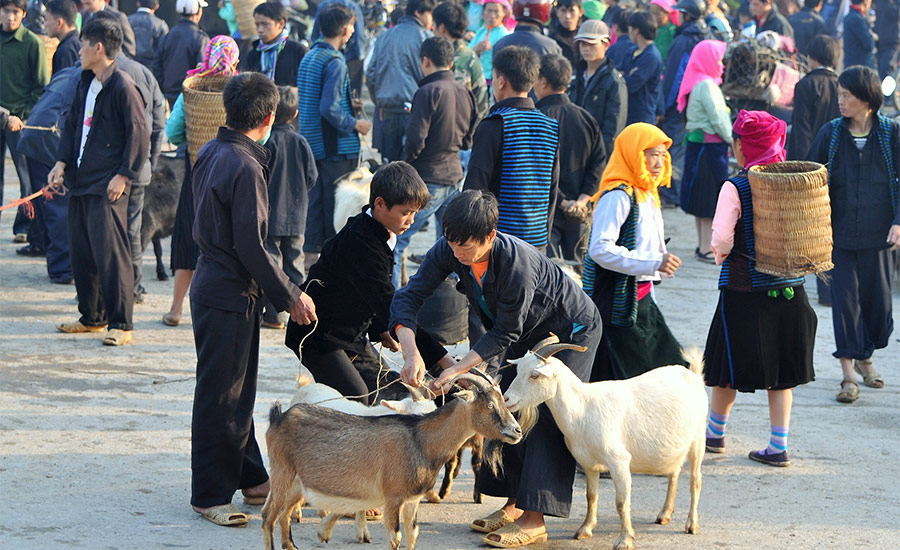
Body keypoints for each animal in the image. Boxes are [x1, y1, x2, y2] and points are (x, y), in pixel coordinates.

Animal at [260, 376, 520, 550]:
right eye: (489, 405)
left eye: (503, 401)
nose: (516, 431)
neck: (420, 441)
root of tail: (279, 418)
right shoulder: (393, 497)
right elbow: (395, 537)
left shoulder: (412, 500)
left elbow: (413, 533)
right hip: (282, 473)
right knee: (268, 517)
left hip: (297, 483)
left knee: (283, 514)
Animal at [502, 336, 708, 550]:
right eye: (518, 370)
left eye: (534, 375)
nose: (506, 398)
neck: (583, 408)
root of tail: (693, 375)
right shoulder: (589, 463)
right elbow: (591, 496)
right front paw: (585, 529)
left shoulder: (619, 461)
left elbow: (621, 502)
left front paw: (625, 539)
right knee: (674, 472)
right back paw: (665, 514)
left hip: (698, 437)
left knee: (695, 480)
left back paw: (691, 524)